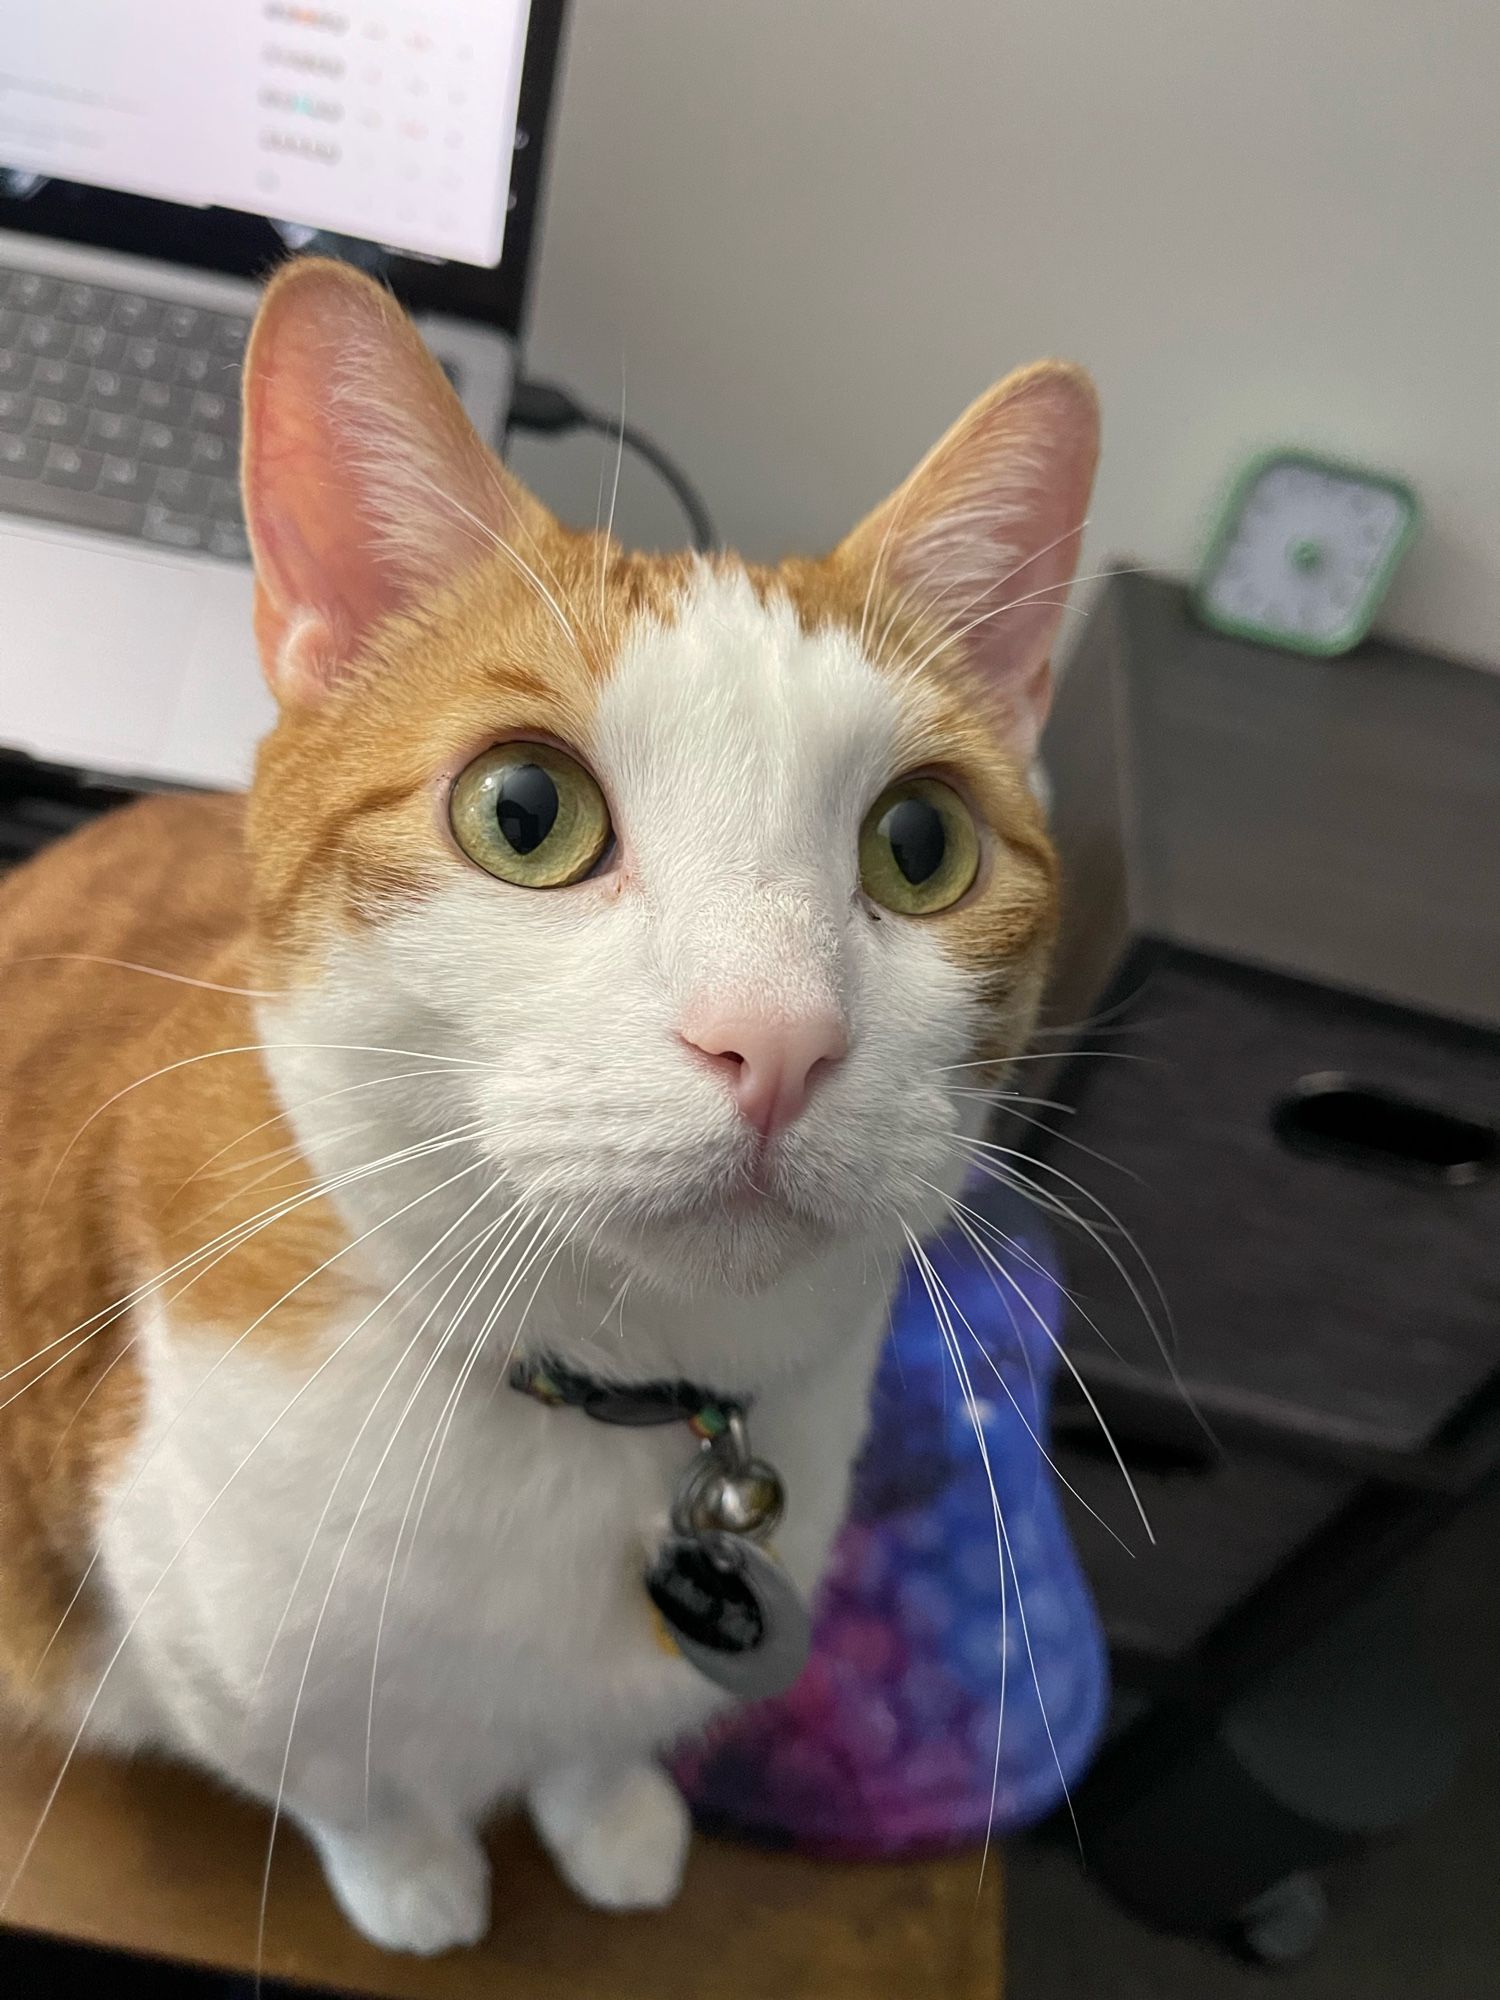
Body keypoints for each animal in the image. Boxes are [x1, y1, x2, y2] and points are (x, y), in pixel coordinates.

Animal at [0, 254, 1104, 1952]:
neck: (606, 1397)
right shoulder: (196, 1649)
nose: (776, 1037)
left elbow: (592, 1749)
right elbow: (338, 1776)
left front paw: (614, 1814)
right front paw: (411, 1875)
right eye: (526, 813)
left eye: (921, 845)